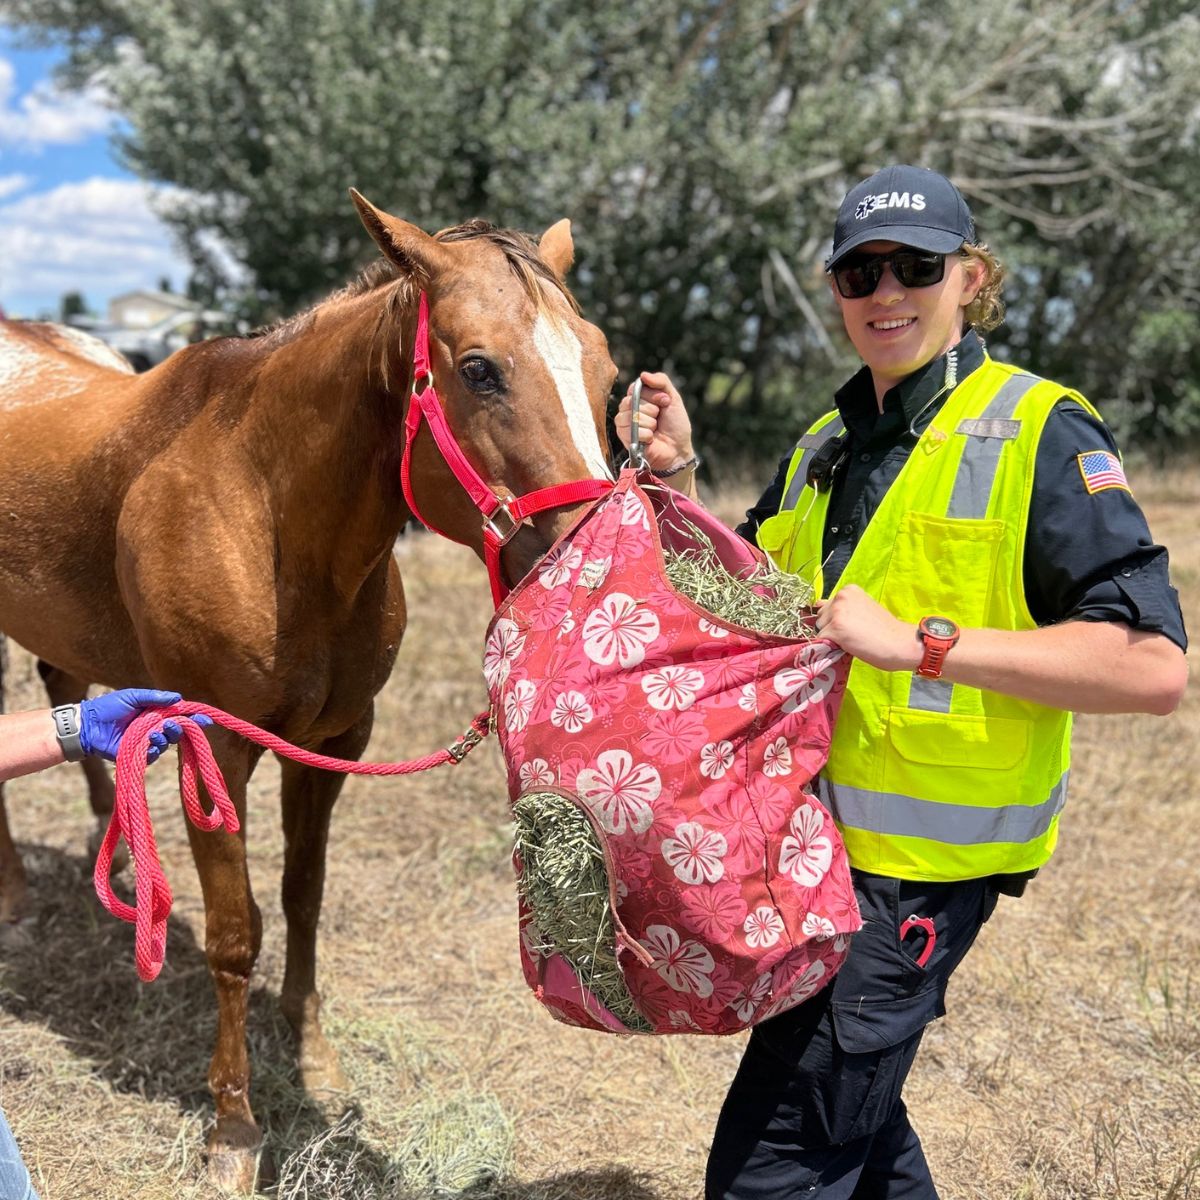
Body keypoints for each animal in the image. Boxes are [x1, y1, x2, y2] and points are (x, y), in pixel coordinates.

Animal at [0, 192, 619, 1185]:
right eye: (479, 370)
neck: (267, 510)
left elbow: (303, 894)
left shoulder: (334, 743)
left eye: (605, 374)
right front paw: (234, 1128)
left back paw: (117, 857)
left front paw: (313, 1056)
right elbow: (235, 931)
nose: (591, 551)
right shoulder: (213, 746)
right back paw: (17, 896)